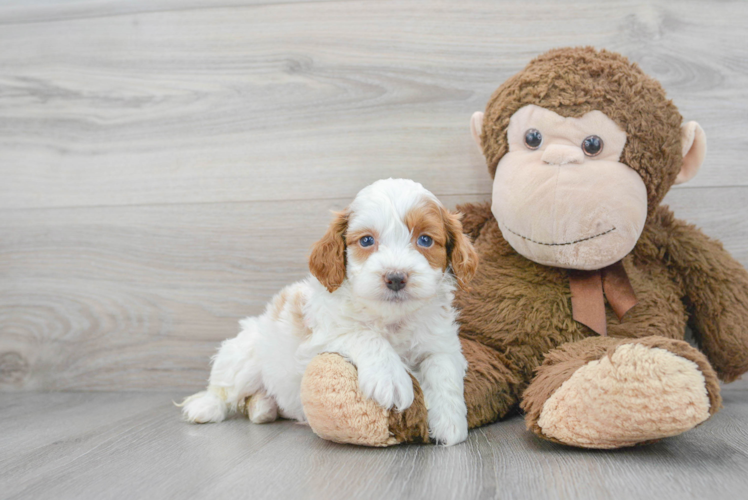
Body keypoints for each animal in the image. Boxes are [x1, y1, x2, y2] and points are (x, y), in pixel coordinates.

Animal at [178, 179, 476, 446]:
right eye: (366, 240)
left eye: (425, 240)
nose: (395, 277)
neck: (391, 318)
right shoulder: (319, 339)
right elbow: (364, 334)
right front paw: (390, 378)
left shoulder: (443, 343)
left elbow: (443, 368)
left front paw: (450, 421)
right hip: (244, 357)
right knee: (224, 388)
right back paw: (205, 407)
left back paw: (264, 408)